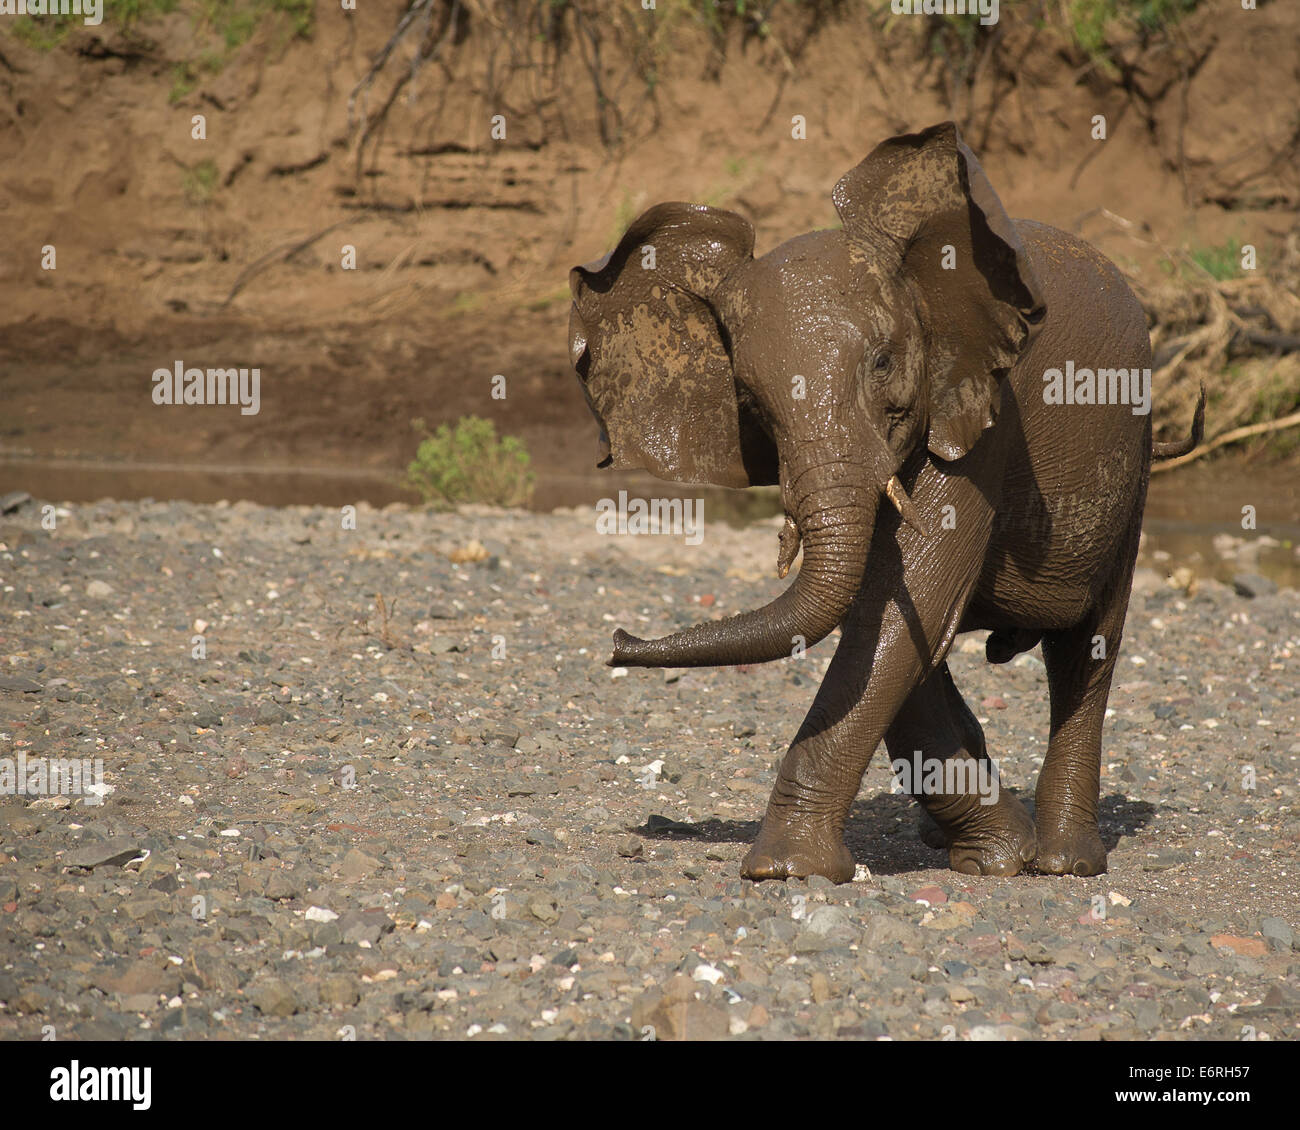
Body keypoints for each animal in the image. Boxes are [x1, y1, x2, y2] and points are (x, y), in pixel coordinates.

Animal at [566, 123, 1196, 884]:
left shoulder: (984, 406)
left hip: (1136, 452)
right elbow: (900, 624)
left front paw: (785, 871)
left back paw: (1065, 862)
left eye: (884, 364)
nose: (617, 641)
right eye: (749, 399)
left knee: (1087, 650)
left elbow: (904, 608)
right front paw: (993, 853)